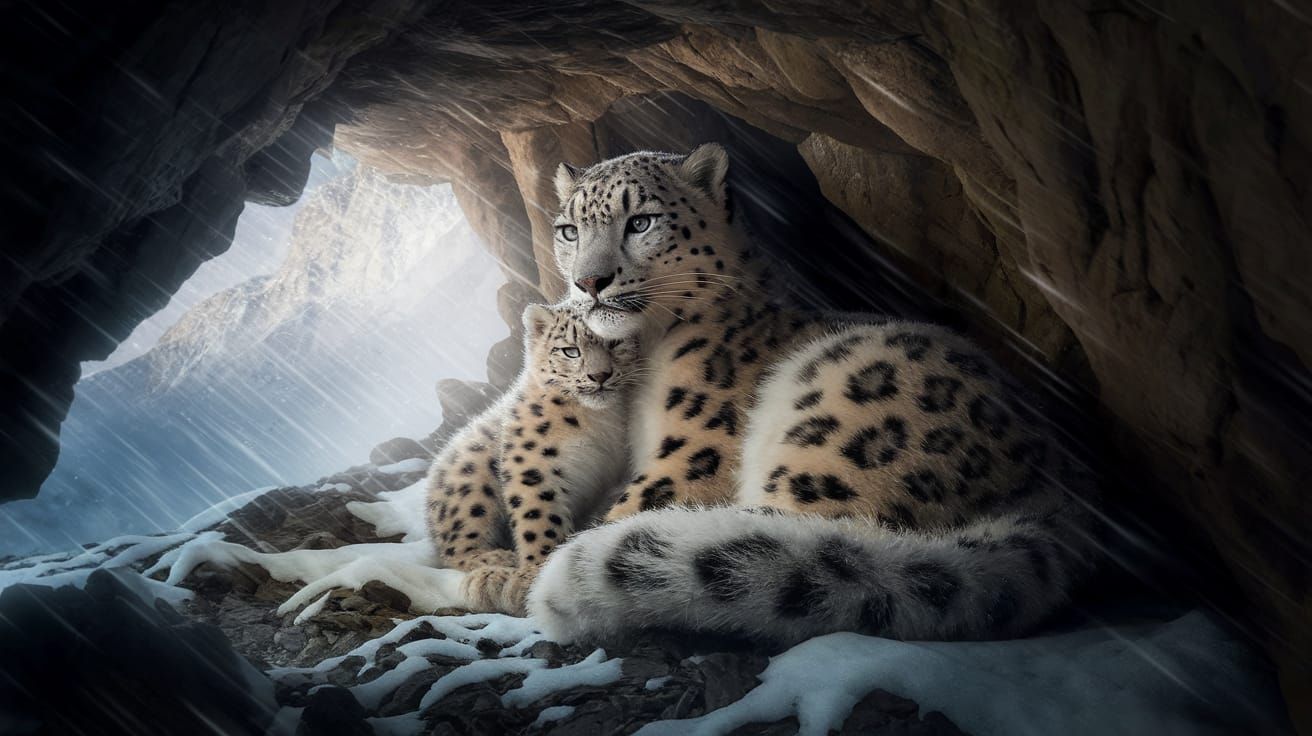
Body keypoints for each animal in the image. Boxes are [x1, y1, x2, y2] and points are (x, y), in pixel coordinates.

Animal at [424, 302, 639, 614]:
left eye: (615, 342)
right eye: (570, 350)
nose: (600, 375)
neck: (599, 419)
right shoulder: (534, 460)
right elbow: (538, 514)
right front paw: (533, 575)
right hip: (471, 476)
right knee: (453, 548)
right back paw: (497, 560)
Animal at [524, 143, 1104, 647]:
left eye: (640, 221)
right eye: (569, 230)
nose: (589, 282)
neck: (646, 356)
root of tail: (1060, 490)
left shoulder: (691, 455)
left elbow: (633, 504)